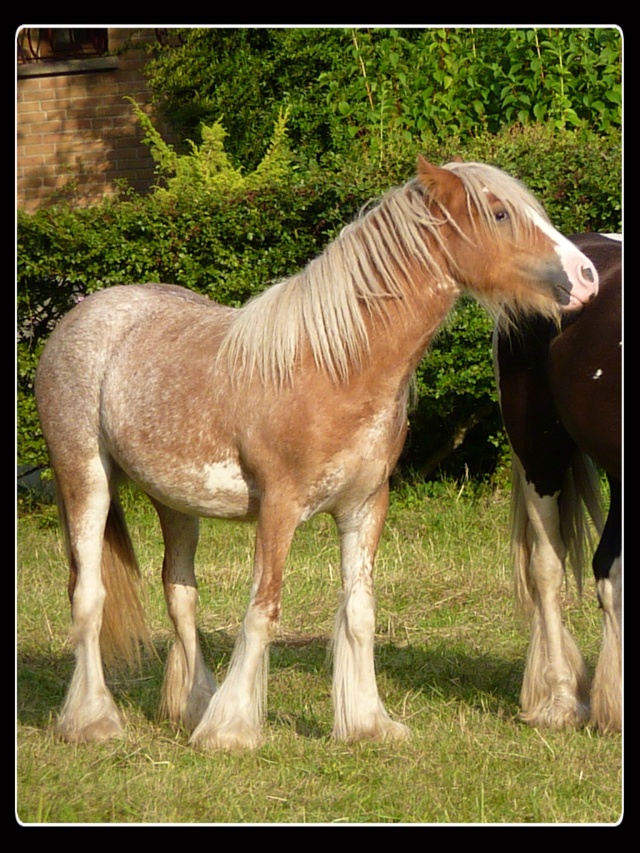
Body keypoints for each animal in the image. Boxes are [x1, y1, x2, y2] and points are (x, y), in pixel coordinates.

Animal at [33, 156, 596, 748]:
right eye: (500, 212)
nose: (586, 276)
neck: (336, 366)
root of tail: (80, 314)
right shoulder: (278, 510)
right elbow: (263, 610)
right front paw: (232, 731)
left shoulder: (364, 508)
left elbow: (359, 612)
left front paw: (367, 723)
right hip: (85, 480)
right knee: (88, 595)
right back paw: (94, 720)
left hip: (177, 503)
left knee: (179, 593)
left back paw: (194, 706)